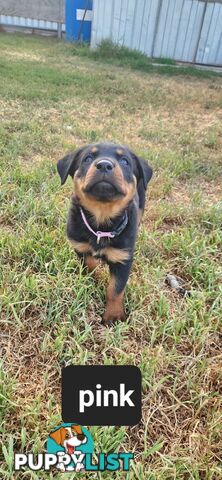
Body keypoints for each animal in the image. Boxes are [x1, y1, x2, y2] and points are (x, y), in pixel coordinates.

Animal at [57, 142, 153, 326]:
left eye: (125, 161)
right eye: (87, 158)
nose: (104, 165)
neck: (102, 219)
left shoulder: (123, 258)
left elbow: (115, 289)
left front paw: (113, 316)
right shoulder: (80, 247)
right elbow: (90, 266)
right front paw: (97, 278)